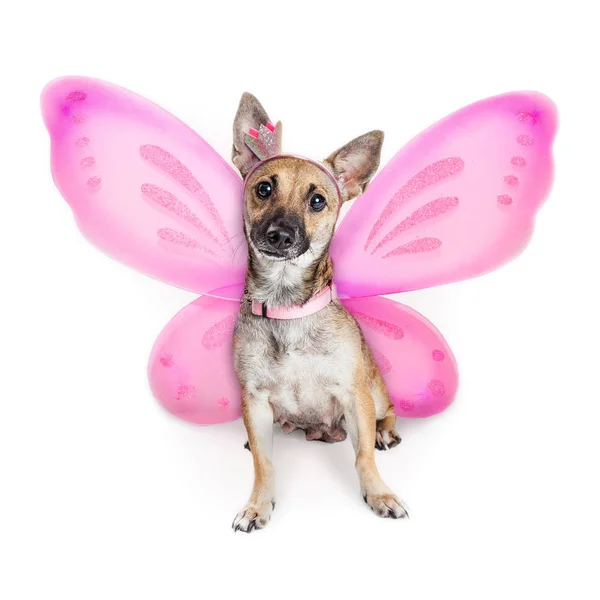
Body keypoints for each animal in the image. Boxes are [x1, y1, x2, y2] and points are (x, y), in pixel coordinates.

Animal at [230, 91, 408, 532]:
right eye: (263, 188)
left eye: (317, 201)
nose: (279, 234)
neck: (287, 307)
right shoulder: (253, 399)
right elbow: (264, 463)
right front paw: (258, 504)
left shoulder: (354, 395)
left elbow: (364, 457)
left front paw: (379, 494)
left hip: (374, 391)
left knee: (389, 412)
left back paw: (385, 433)